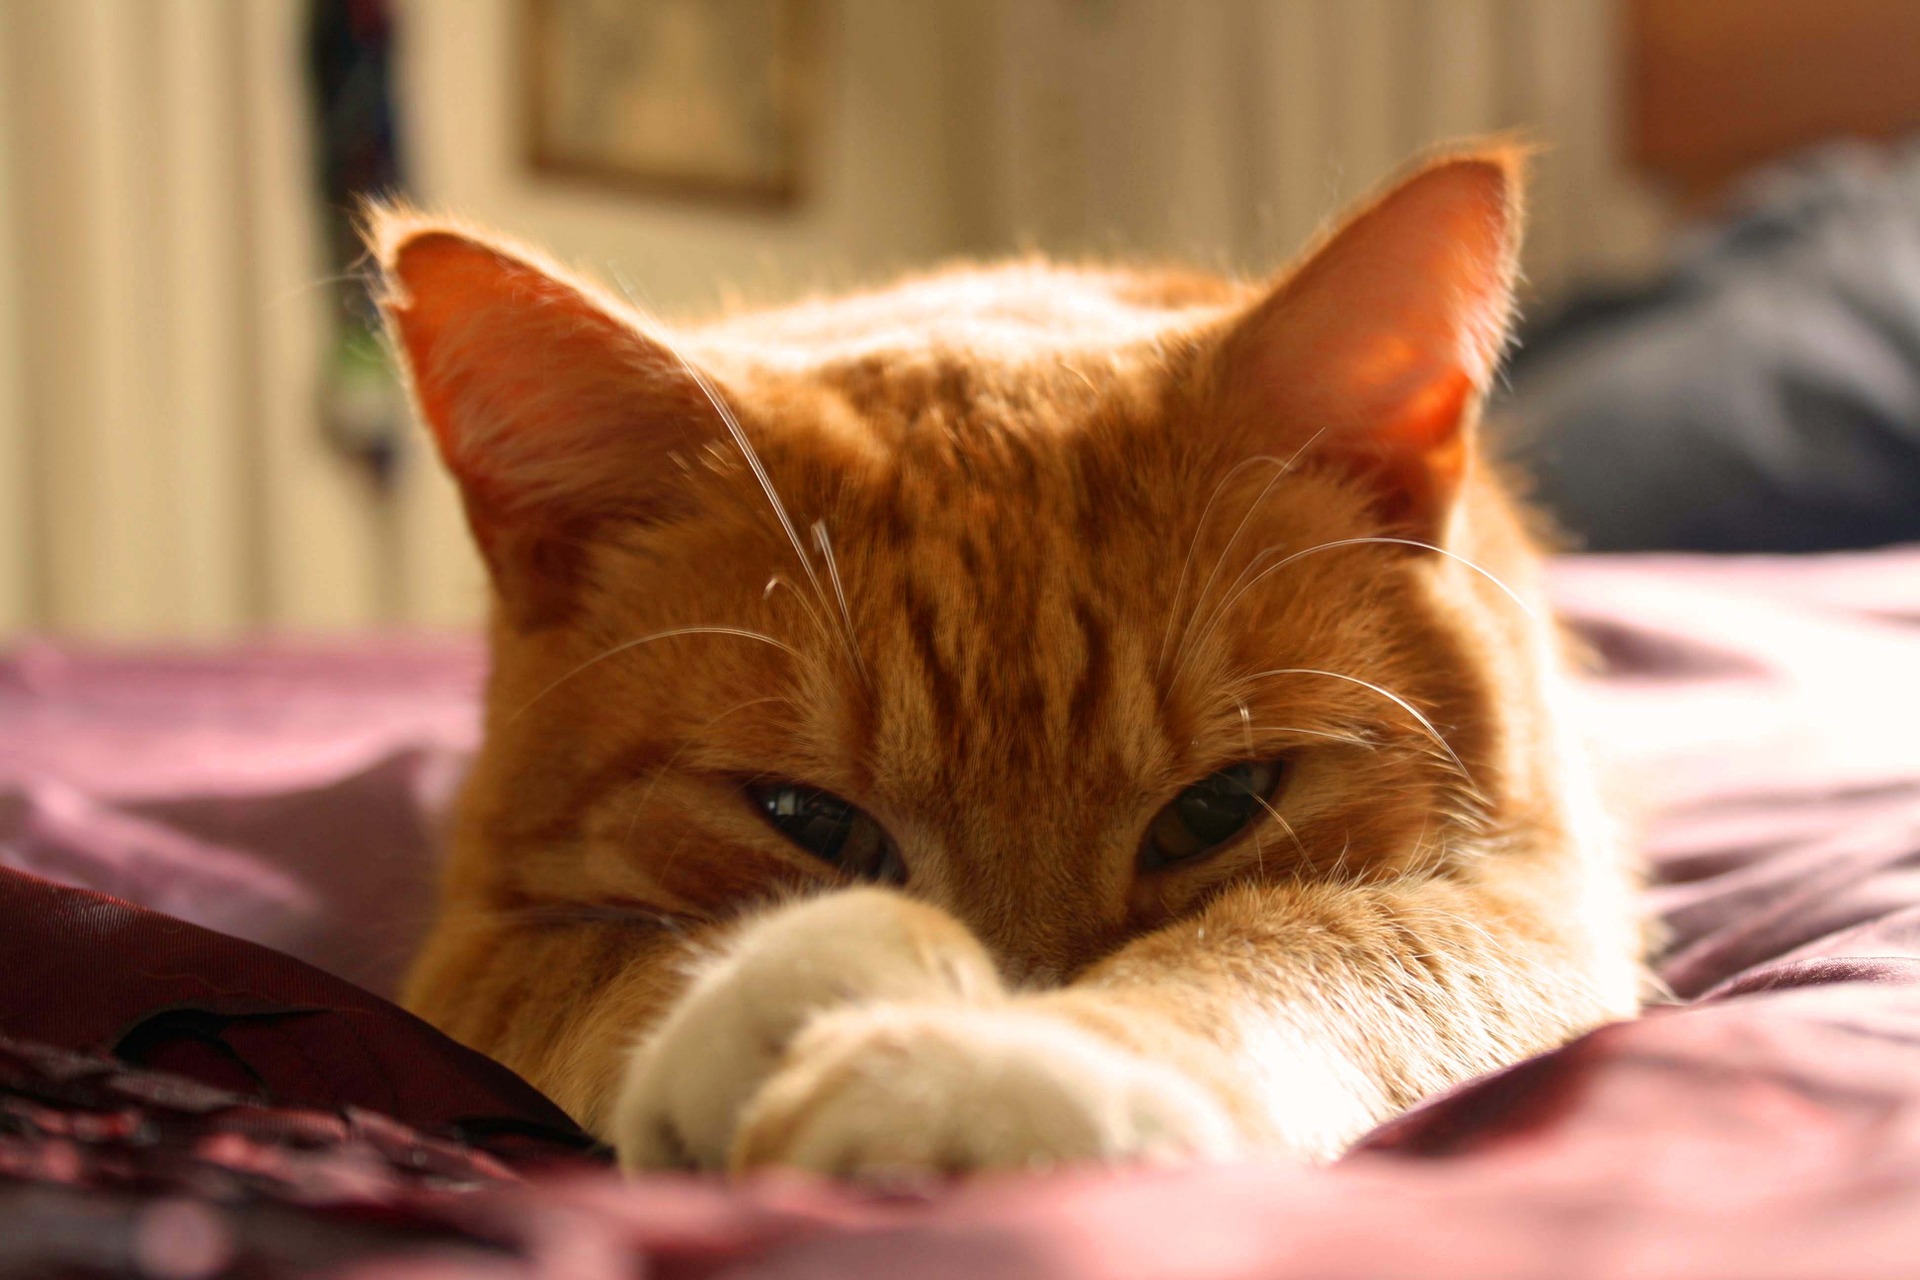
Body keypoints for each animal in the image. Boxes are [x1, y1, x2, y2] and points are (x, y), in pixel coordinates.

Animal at [382, 150, 1643, 1182]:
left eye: (1224, 803)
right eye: (805, 818)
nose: (1015, 986)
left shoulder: (1534, 904)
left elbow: (1300, 946)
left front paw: (994, 1065)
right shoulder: (472, 948)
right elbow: (603, 963)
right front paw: (782, 982)